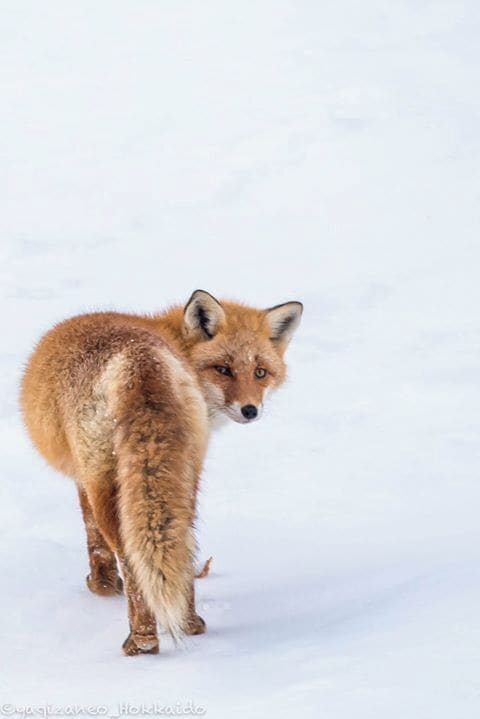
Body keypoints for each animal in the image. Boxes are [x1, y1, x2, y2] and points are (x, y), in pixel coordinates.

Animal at [20, 290, 303, 655]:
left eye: (259, 372)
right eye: (223, 369)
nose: (250, 410)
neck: (173, 340)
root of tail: (140, 356)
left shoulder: (84, 475)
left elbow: (93, 538)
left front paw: (102, 585)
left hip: (108, 479)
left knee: (130, 554)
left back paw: (142, 641)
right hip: (181, 475)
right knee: (179, 542)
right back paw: (190, 624)